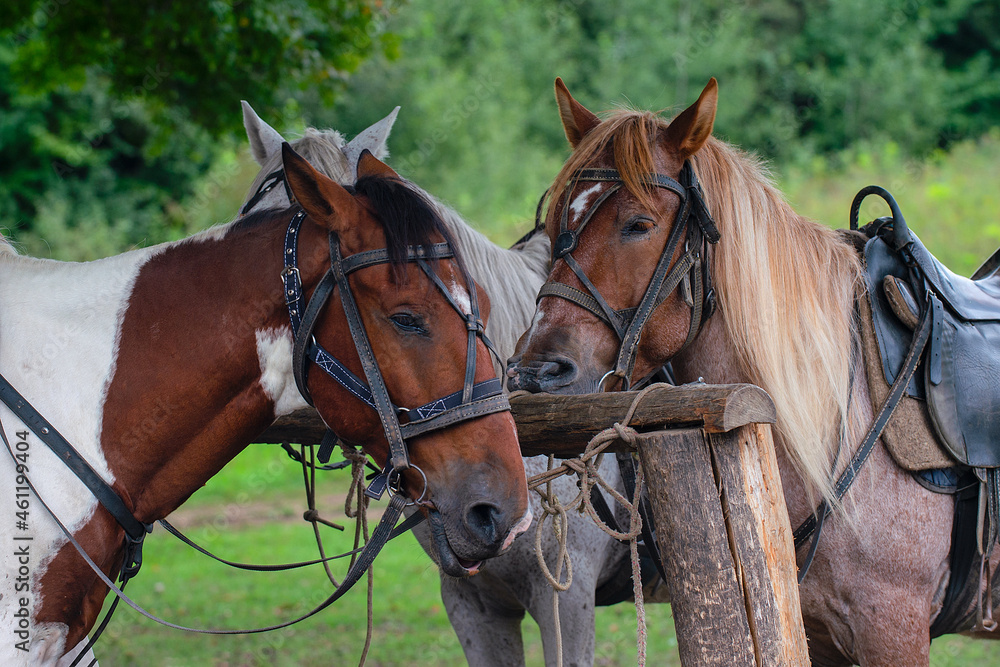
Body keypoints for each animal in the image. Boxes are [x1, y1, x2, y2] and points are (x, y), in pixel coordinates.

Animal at [506, 76, 1000, 666]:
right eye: (555, 222)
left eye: (638, 224)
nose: (536, 371)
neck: (839, 408)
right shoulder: (817, 632)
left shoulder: (892, 629)